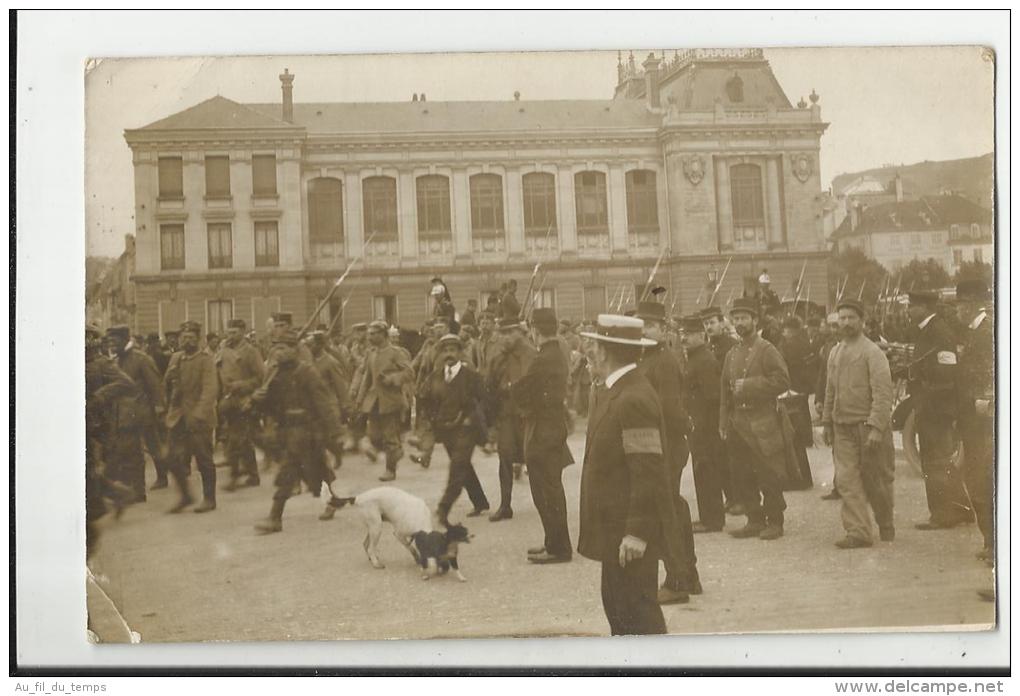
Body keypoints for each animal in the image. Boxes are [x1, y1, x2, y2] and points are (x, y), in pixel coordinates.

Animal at [324, 485, 471, 575]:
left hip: (373, 527)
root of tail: (358, 497)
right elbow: (411, 548)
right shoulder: (399, 535)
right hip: (377, 527)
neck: (421, 522)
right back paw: (377, 564)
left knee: (366, 544)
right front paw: (417, 559)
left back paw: (373, 559)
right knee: (370, 547)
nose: (445, 568)